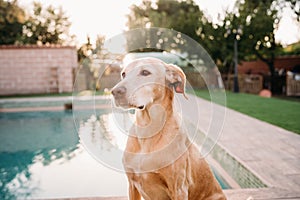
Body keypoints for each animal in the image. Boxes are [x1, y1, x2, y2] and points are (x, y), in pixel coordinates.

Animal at [111, 57, 226, 199]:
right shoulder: (132, 185)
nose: (115, 92)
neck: (147, 131)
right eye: (123, 74)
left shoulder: (179, 189)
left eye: (145, 72)